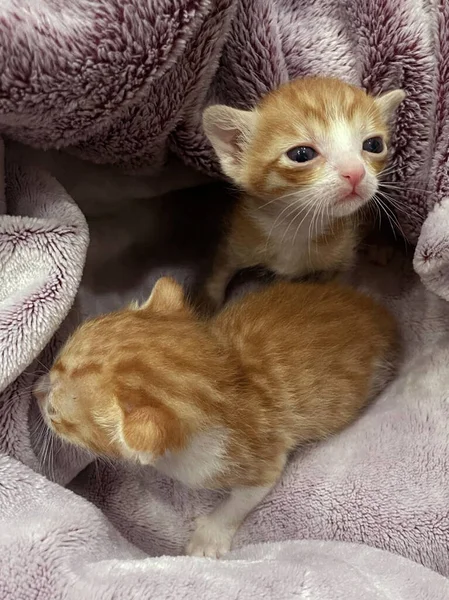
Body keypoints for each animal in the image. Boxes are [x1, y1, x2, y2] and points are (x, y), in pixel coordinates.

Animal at [36, 276, 400, 556]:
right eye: (53, 362)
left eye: (56, 417)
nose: (35, 393)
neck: (229, 378)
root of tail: (382, 314)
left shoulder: (260, 458)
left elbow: (242, 499)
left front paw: (208, 535)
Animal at [201, 77, 404, 308]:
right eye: (301, 154)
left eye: (374, 145)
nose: (355, 173)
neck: (297, 224)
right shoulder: (238, 237)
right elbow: (219, 271)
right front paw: (207, 306)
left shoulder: (342, 256)